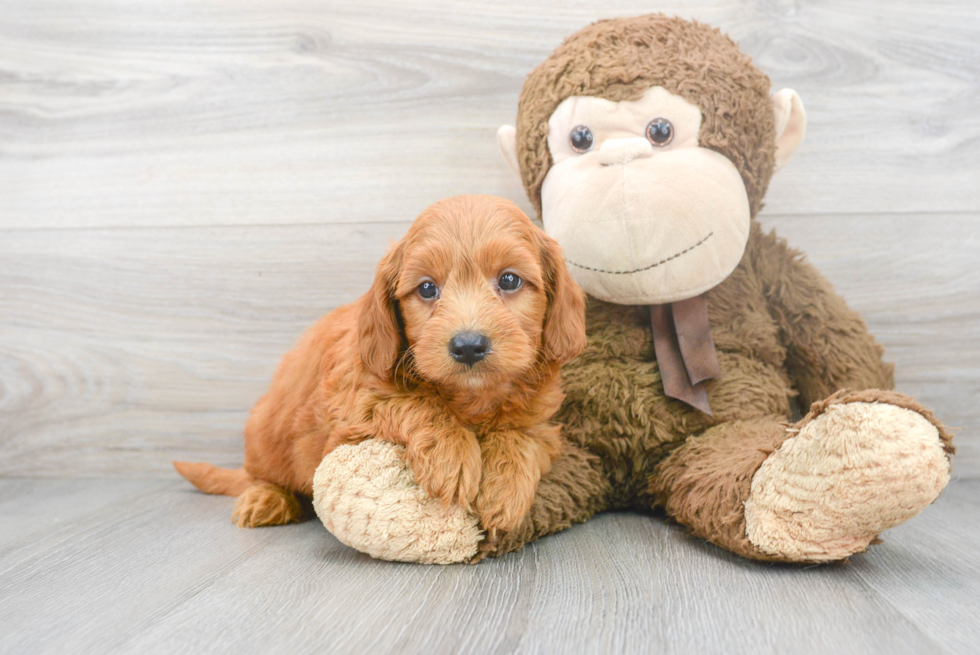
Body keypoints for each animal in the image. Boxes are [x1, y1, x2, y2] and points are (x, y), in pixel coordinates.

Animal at [173, 196, 584, 540]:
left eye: (510, 279)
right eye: (427, 289)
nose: (468, 346)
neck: (470, 397)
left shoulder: (542, 422)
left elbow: (522, 436)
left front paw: (505, 489)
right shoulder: (352, 406)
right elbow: (411, 403)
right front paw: (452, 455)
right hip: (266, 436)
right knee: (260, 478)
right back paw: (266, 499)